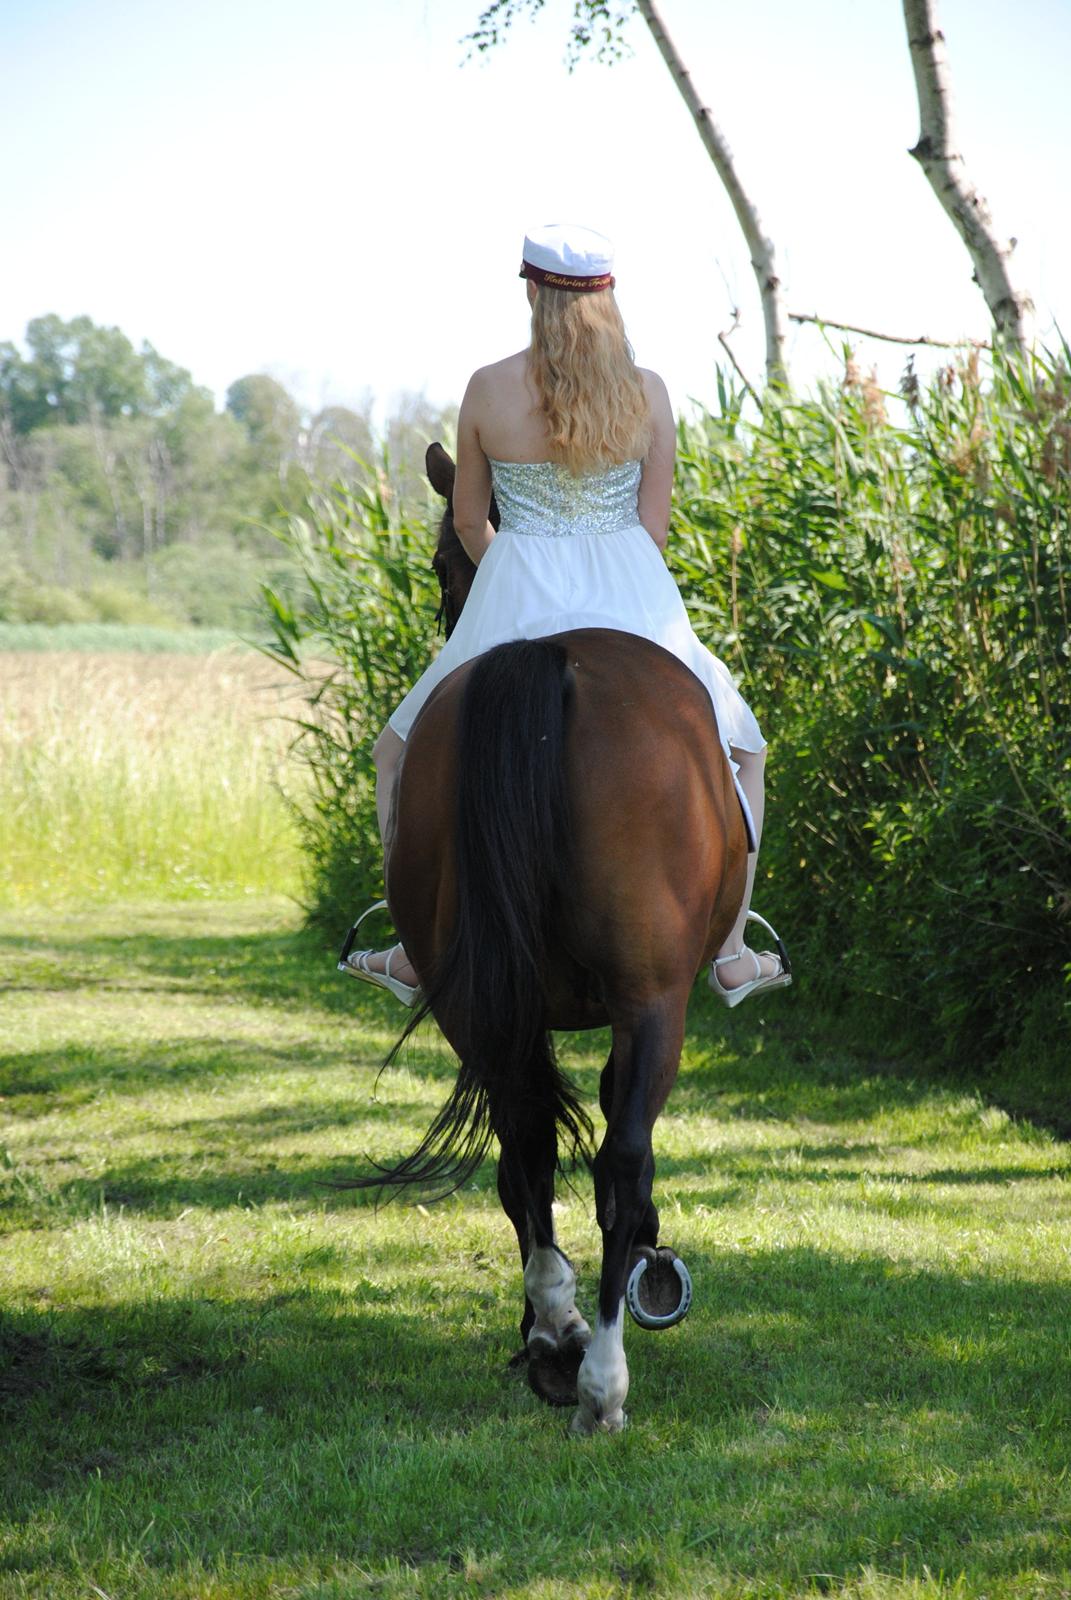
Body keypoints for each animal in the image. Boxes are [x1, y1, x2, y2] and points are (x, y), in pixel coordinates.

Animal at [355, 441, 749, 1440]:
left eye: (439, 567)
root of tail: (548, 653)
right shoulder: (643, 1002)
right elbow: (619, 1133)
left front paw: (549, 1324)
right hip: (652, 1001)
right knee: (616, 1161)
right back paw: (602, 1378)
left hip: (475, 1002)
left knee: (522, 1147)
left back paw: (553, 1336)